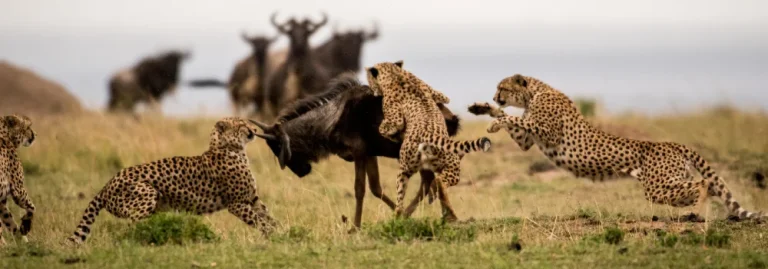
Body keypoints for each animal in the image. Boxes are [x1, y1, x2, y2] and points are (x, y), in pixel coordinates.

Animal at [0, 114, 36, 244]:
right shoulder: (18, 189)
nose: (35, 134)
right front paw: (25, 227)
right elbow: (32, 207)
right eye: (28, 126)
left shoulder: (1, 201)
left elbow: (9, 221)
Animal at [66, 116, 276, 243]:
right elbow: (259, 221)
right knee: (132, 227)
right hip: (147, 193)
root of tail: (107, 184)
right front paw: (273, 236)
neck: (232, 149)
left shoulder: (252, 198)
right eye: (241, 125)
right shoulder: (236, 204)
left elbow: (268, 216)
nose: (254, 129)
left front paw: (280, 233)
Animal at [368, 60, 492, 220]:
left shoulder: (395, 119)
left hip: (410, 168)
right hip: (435, 166)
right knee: (436, 182)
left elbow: (383, 128)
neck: (395, 74)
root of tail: (427, 134)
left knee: (417, 188)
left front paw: (393, 135)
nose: (373, 91)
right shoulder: (437, 94)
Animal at [472, 74, 764, 220]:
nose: (495, 96)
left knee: (702, 184)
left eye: (502, 87)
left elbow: (514, 118)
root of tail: (673, 143)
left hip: (658, 186)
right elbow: (512, 120)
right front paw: (484, 110)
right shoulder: (528, 140)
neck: (536, 92)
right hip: (668, 182)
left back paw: (696, 210)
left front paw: (494, 120)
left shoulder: (549, 132)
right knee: (705, 186)